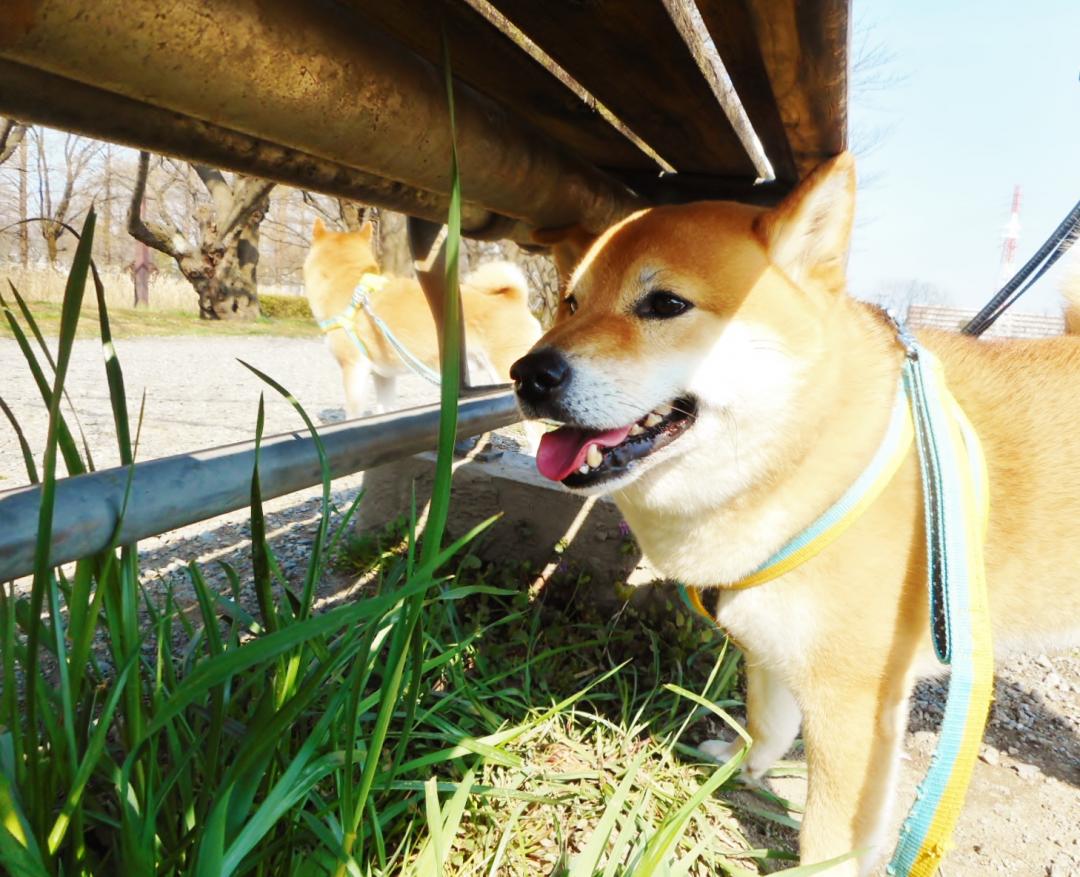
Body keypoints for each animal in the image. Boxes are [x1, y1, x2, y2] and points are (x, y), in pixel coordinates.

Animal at [302, 222, 540, 421]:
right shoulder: (384, 376)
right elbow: (384, 411)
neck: (350, 285)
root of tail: (513, 299)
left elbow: (353, 416)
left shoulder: (353, 368)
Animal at [509, 154, 1080, 872]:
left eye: (665, 304)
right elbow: (767, 723)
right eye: (571, 302)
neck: (809, 456)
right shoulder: (767, 640)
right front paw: (741, 765)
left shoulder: (853, 701)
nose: (528, 373)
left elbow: (830, 835)